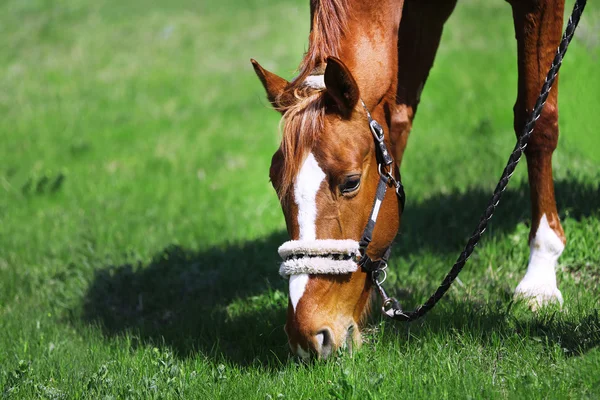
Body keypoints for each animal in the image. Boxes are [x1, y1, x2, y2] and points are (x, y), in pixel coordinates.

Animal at [250, 0, 568, 360]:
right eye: (276, 183)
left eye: (350, 182)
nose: (307, 334)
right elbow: (399, 117)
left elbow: (536, 119)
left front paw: (540, 277)